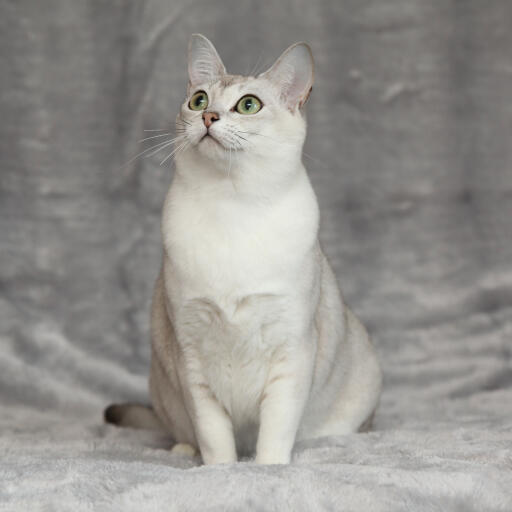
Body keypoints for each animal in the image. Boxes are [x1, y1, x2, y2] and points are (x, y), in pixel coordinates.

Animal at [106, 32, 382, 464]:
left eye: (248, 105)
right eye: (199, 99)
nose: (208, 117)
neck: (231, 206)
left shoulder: (291, 352)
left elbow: (275, 434)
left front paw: (267, 469)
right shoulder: (192, 358)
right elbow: (215, 437)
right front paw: (221, 470)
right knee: (181, 429)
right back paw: (183, 450)